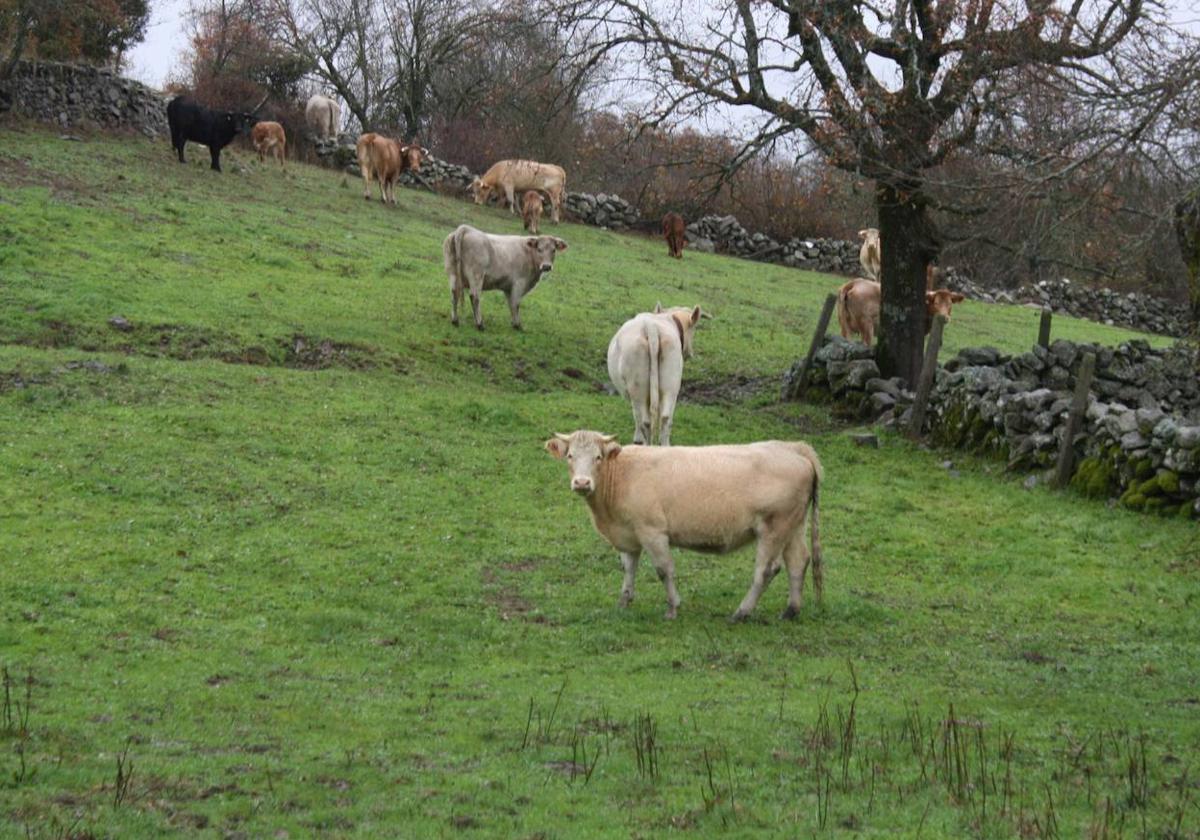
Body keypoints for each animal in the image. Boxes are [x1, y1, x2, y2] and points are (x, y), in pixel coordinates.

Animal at [547, 429, 820, 619]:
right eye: (570, 456)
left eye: (598, 457)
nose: (582, 483)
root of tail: (793, 447)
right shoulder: (629, 534)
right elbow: (628, 568)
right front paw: (624, 602)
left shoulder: (652, 531)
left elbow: (663, 569)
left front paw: (672, 608)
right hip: (793, 526)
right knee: (798, 561)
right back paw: (790, 611)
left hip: (774, 527)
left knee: (766, 570)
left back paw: (741, 612)